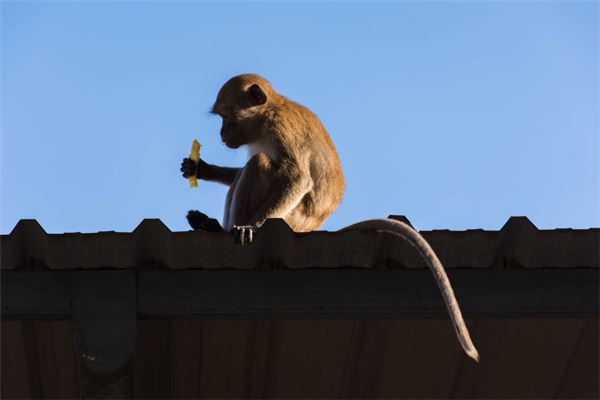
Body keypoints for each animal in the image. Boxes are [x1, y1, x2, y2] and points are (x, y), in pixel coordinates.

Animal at [180, 72, 480, 362]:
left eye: (226, 116)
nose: (222, 133)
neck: (269, 112)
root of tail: (311, 228)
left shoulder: (281, 128)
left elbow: (297, 178)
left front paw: (252, 226)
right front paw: (202, 168)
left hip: (292, 219)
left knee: (259, 163)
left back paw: (223, 227)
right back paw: (210, 225)